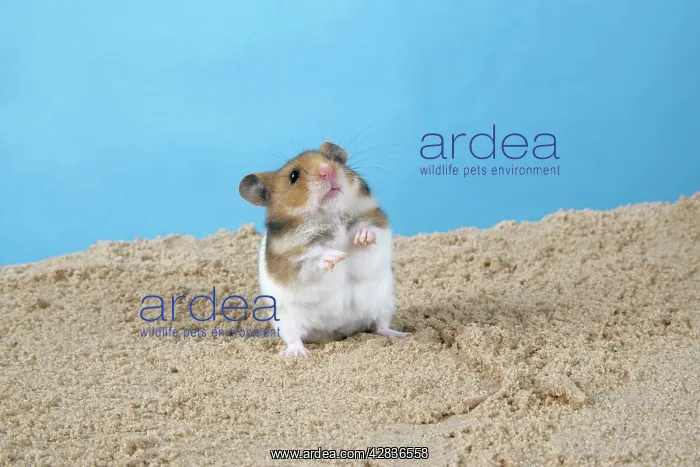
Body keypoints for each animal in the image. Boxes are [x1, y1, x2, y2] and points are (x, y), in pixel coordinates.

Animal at [238, 141, 408, 357]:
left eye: (331, 159)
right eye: (294, 176)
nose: (327, 170)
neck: (330, 216)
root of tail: (337, 331)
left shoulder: (379, 229)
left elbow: (370, 233)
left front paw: (362, 237)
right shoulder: (292, 263)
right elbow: (312, 260)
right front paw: (335, 256)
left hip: (384, 303)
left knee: (380, 325)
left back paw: (400, 334)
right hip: (285, 320)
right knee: (294, 338)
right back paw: (297, 353)